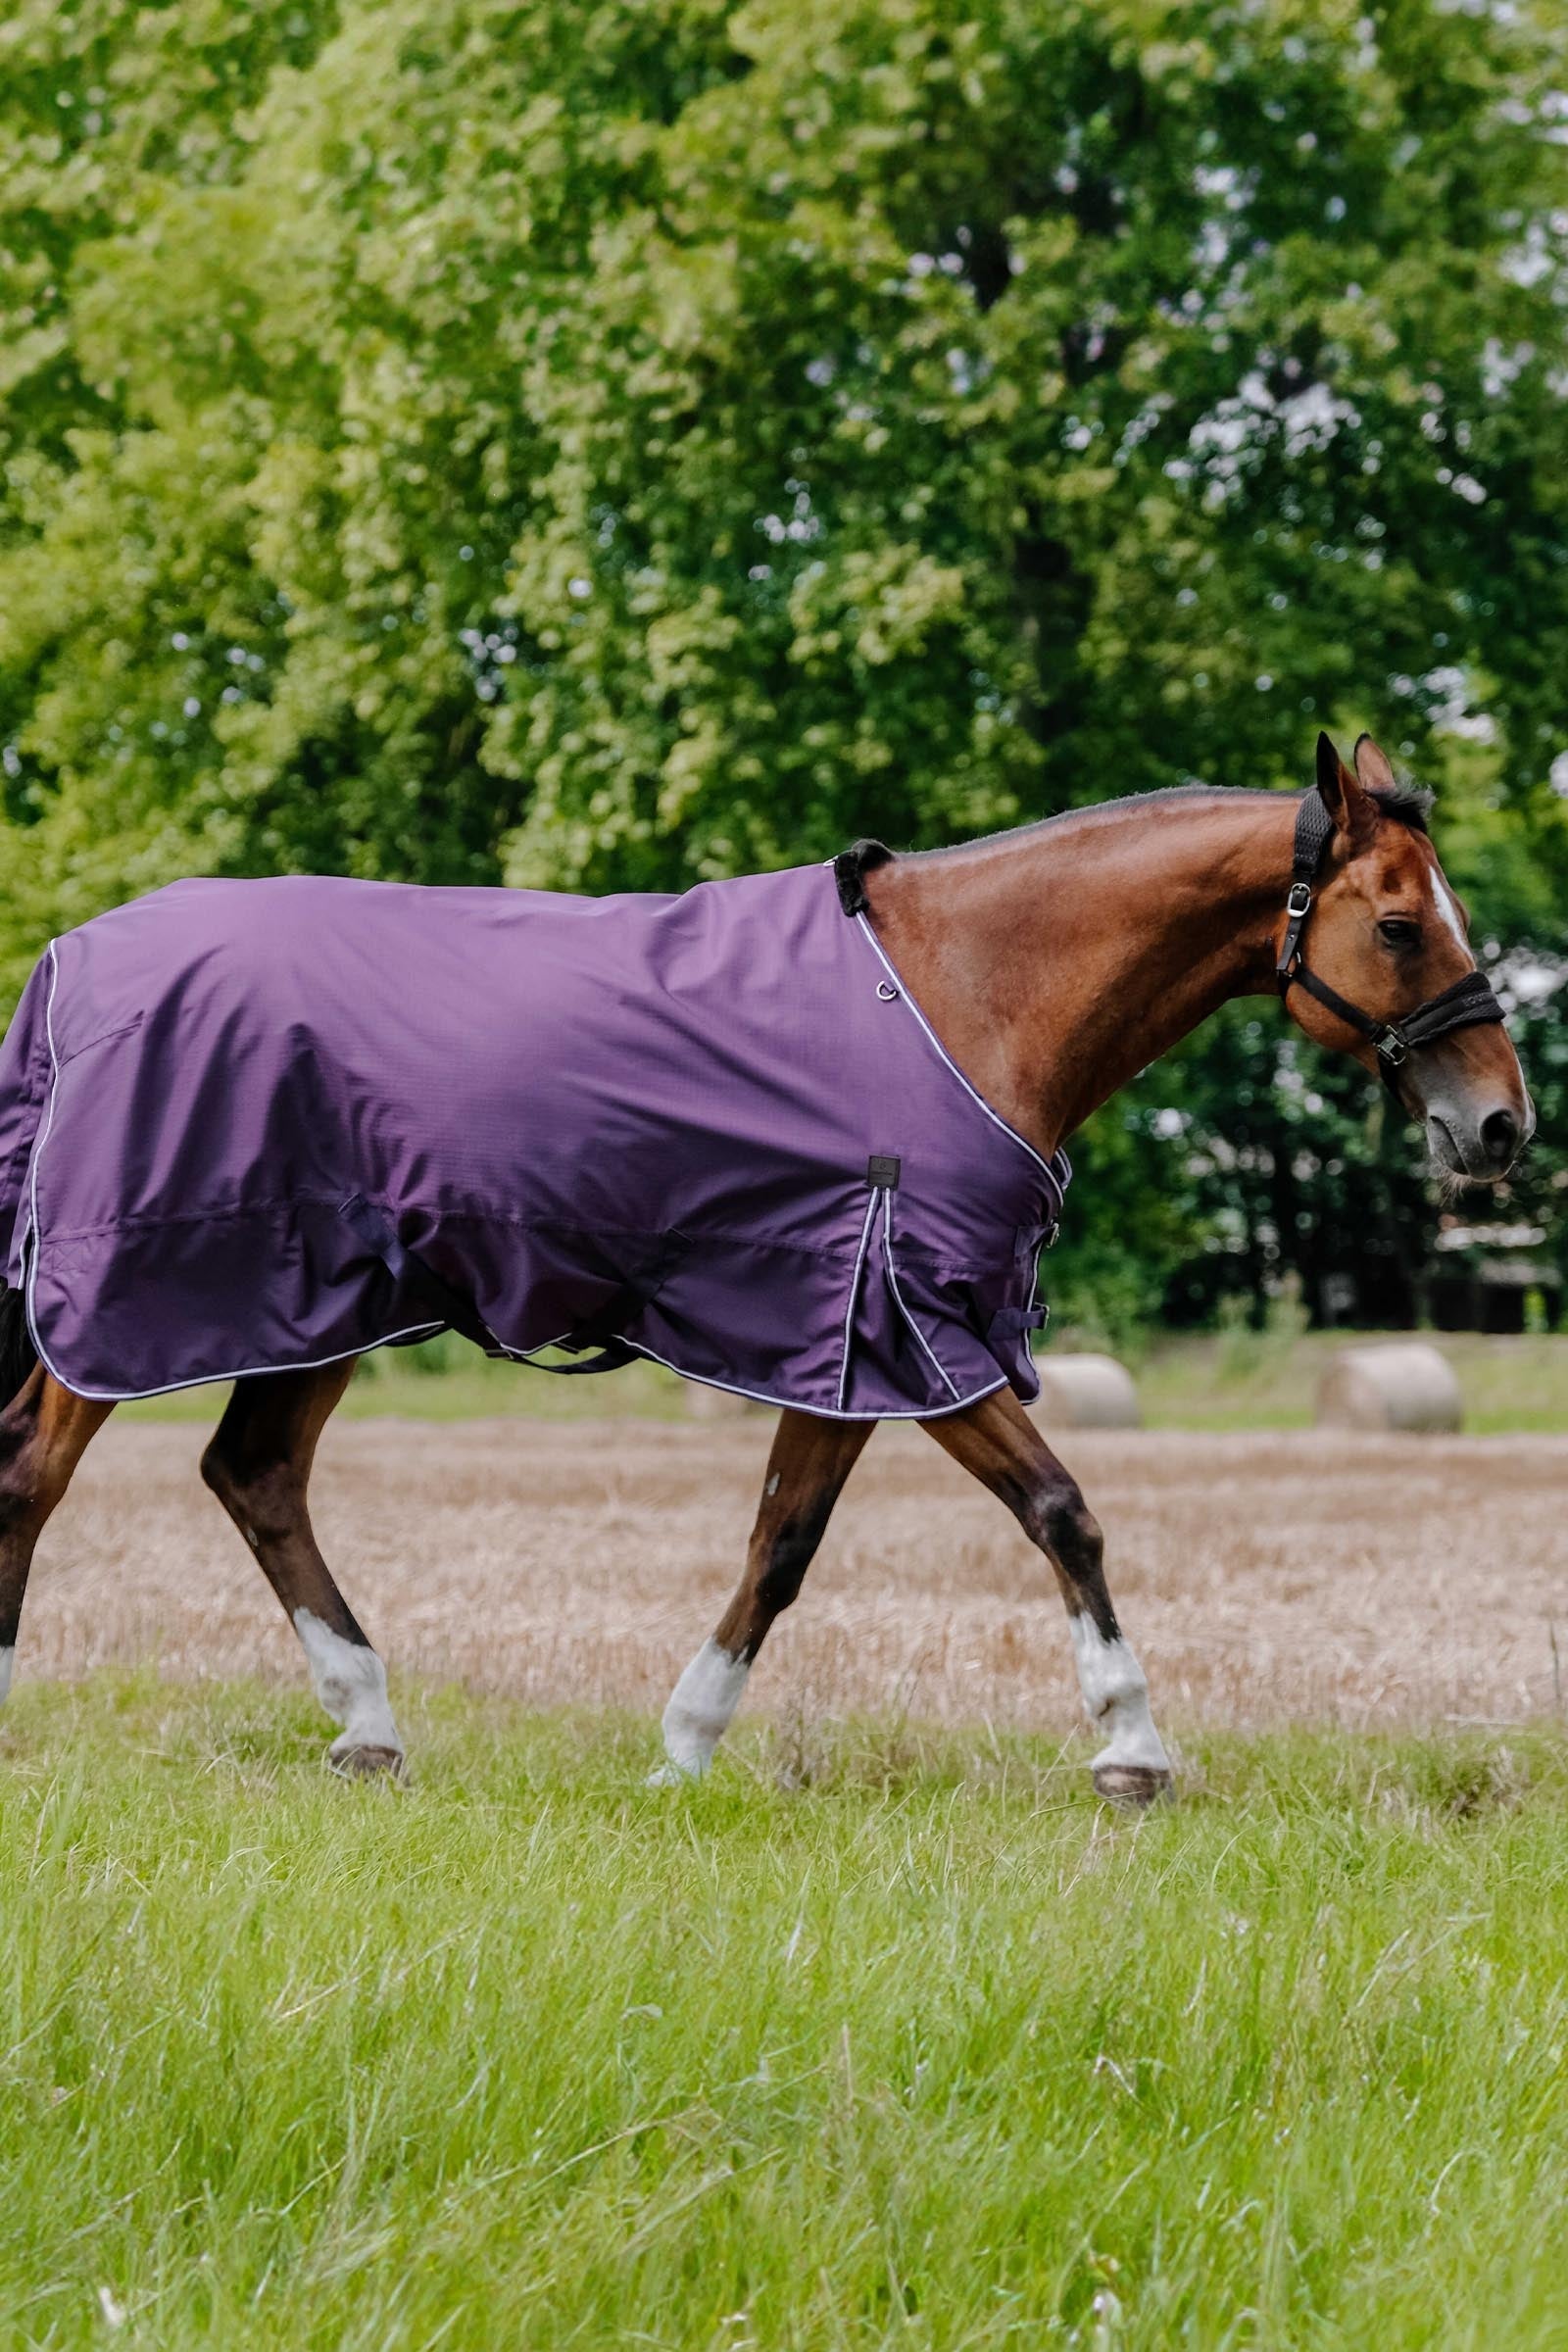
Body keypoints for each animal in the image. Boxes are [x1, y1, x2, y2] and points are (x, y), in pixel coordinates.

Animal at [0, 732, 1531, 1801]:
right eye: (1400, 924)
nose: (1501, 1125)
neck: (966, 991)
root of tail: (75, 961)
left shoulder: (845, 1339)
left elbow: (781, 1546)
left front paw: (683, 1750)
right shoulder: (915, 1326)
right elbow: (1061, 1510)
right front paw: (1132, 1746)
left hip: (319, 1307)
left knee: (253, 1473)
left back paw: (369, 1727)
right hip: (149, 1301)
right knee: (35, 1469)